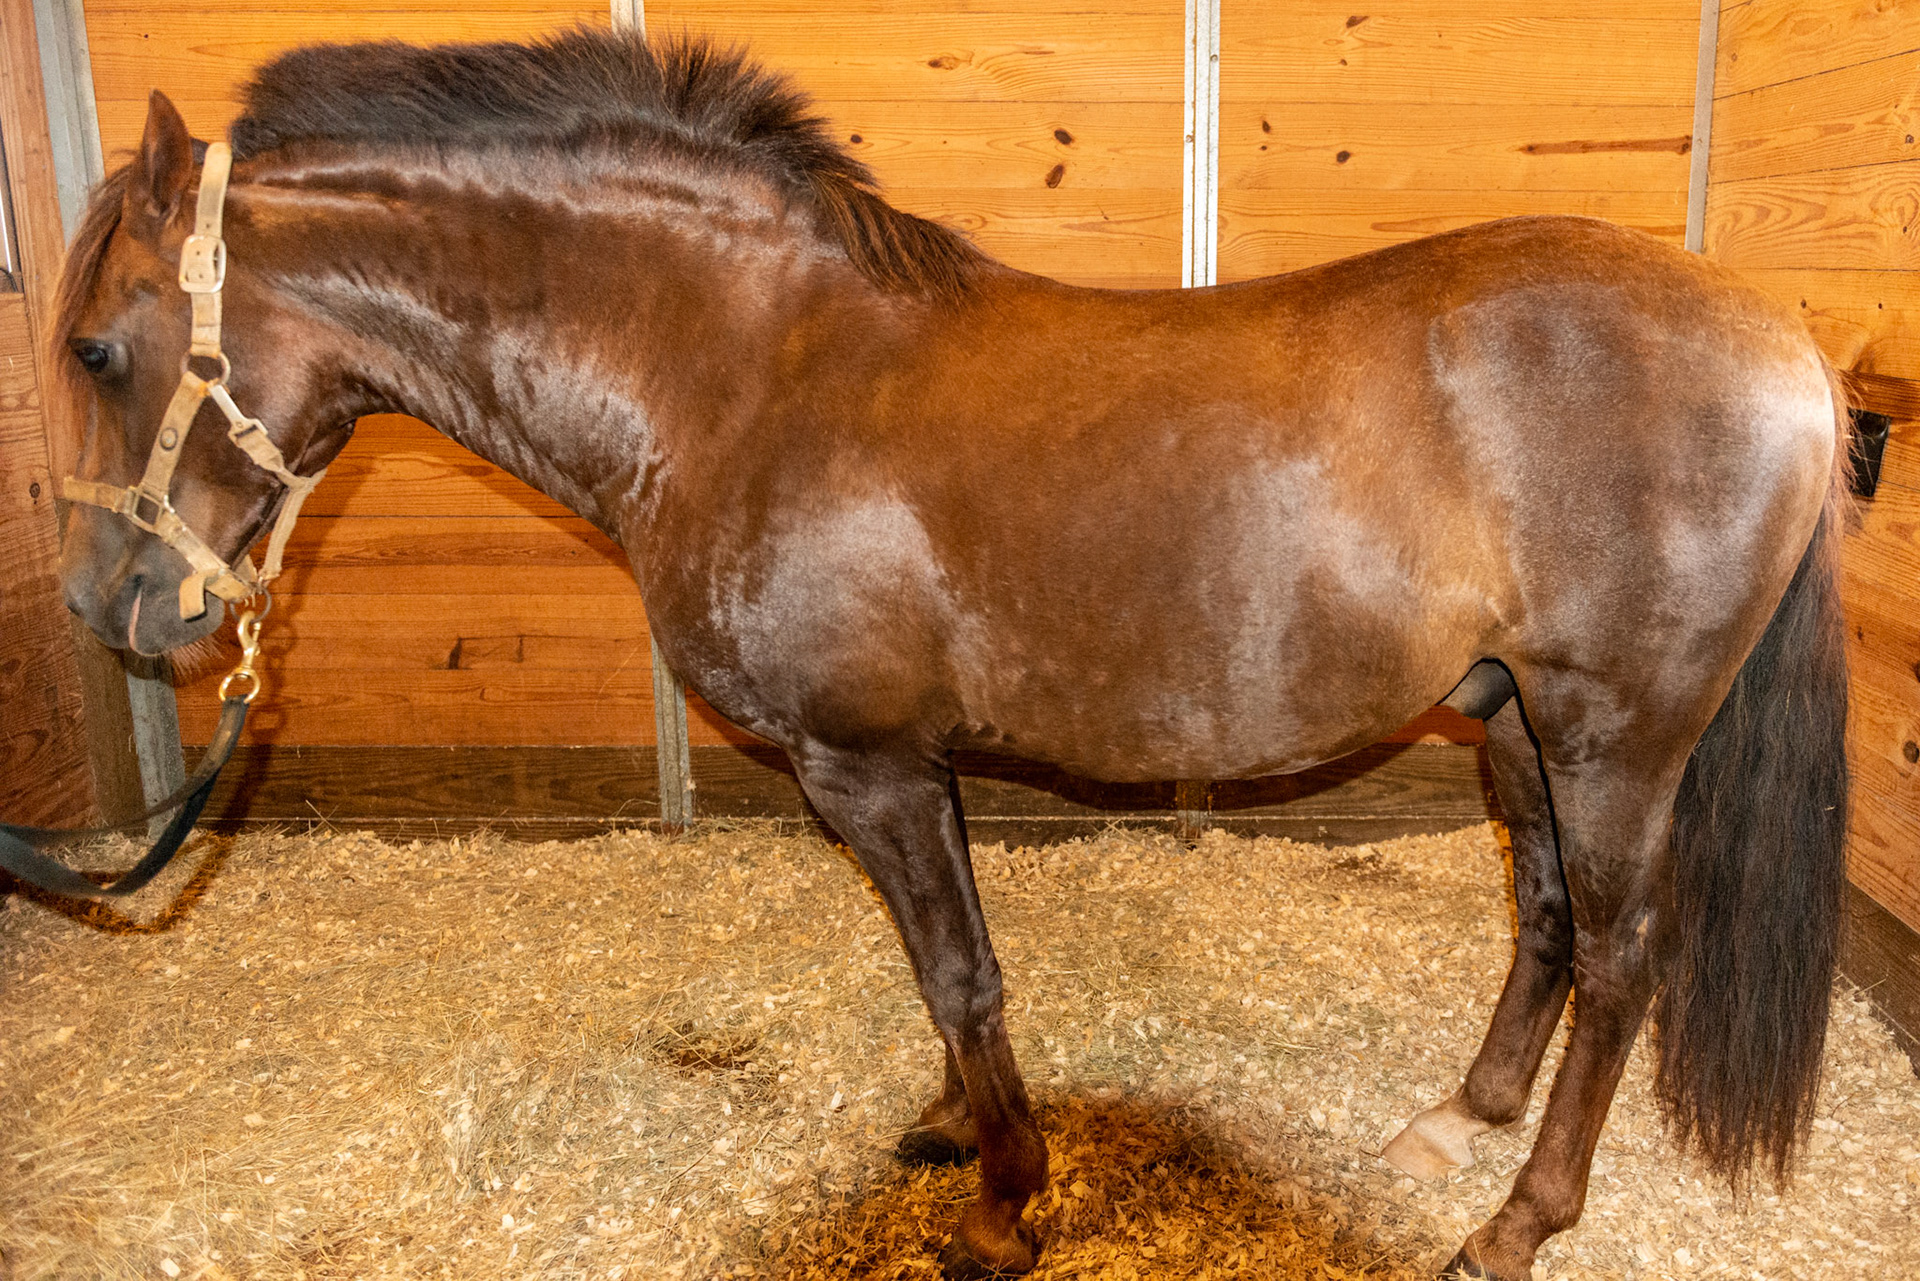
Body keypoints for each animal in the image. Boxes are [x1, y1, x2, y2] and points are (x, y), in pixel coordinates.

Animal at [53, 30, 1849, 1280]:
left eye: (94, 346)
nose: (102, 607)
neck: (740, 370)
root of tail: (1785, 347)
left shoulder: (868, 765)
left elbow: (962, 972)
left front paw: (1003, 1201)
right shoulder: (908, 766)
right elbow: (951, 968)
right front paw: (952, 1129)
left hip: (1618, 738)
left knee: (1620, 958)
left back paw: (1521, 1216)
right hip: (1514, 724)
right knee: (1542, 918)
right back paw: (1460, 1124)